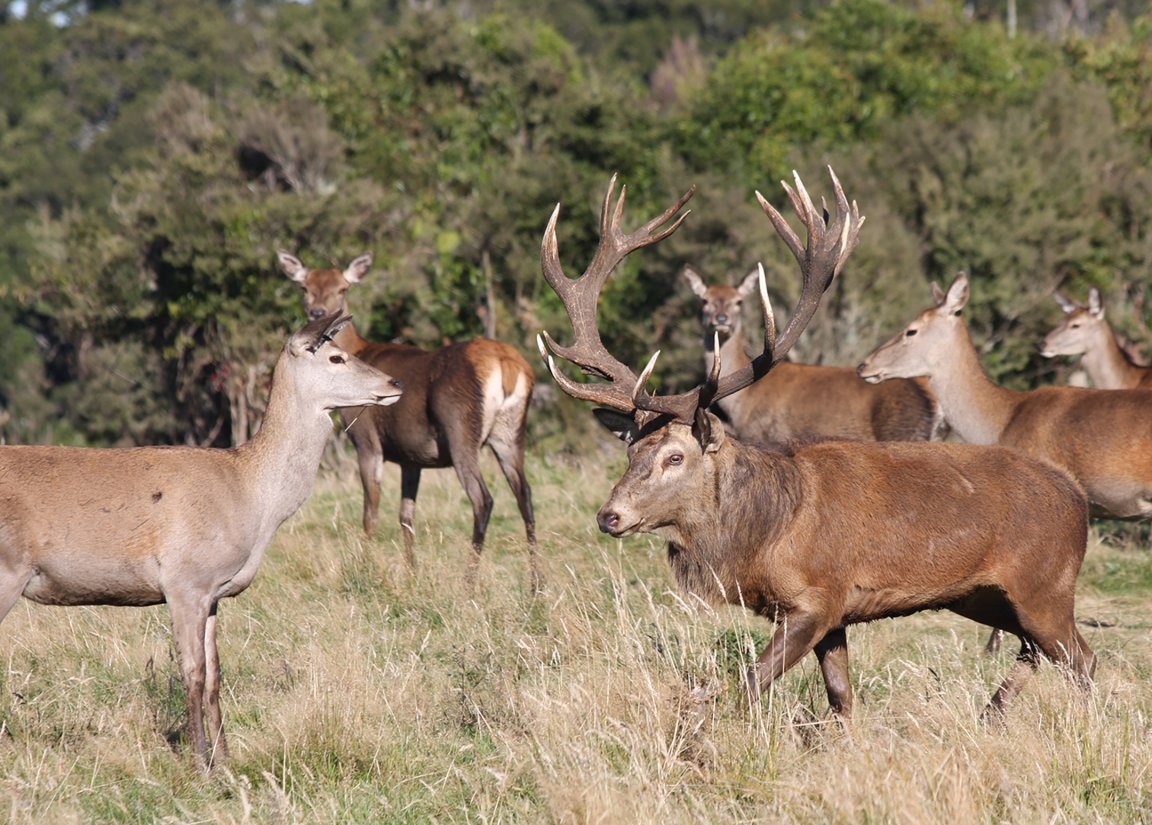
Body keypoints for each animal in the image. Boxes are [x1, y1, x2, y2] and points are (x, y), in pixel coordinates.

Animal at [0, 313, 403, 769]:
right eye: (336, 357)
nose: (394, 383)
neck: (251, 500)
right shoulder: (185, 580)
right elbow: (191, 673)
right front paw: (199, 762)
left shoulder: (213, 591)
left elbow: (214, 676)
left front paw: (226, 759)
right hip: (8, 569)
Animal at [277, 252, 540, 590]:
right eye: (304, 287)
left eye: (342, 288)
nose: (318, 312)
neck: (360, 350)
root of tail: (506, 365)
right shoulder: (411, 457)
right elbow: (406, 515)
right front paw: (411, 574)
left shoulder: (366, 439)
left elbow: (371, 511)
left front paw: (365, 569)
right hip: (510, 433)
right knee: (526, 495)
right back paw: (537, 584)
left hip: (460, 428)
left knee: (483, 499)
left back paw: (468, 583)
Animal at [682, 266, 942, 443]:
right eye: (704, 300)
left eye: (739, 301)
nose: (721, 319)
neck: (742, 402)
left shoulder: (764, 435)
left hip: (902, 431)